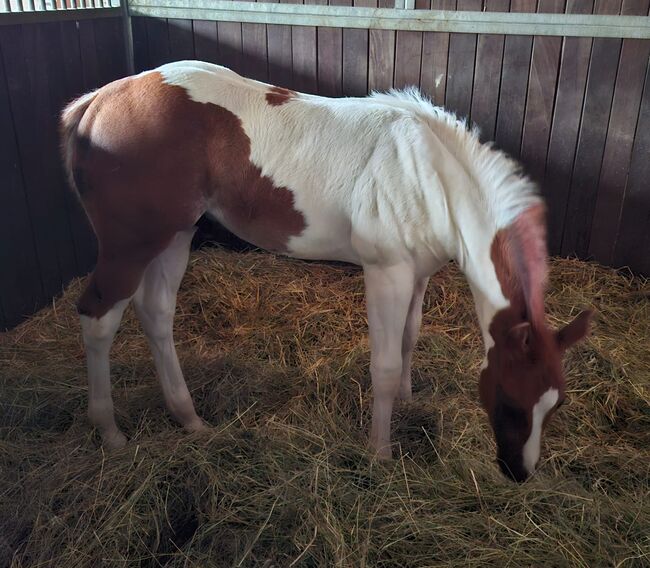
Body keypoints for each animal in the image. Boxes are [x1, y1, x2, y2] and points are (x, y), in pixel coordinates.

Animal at [59, 61, 588, 480]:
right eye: (511, 401)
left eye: (557, 404)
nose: (520, 473)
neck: (429, 175)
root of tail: (96, 103)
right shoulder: (387, 273)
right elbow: (384, 364)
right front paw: (379, 452)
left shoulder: (418, 274)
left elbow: (411, 336)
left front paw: (409, 399)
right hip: (131, 245)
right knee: (98, 319)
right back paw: (110, 431)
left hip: (176, 234)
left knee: (156, 312)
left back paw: (189, 419)